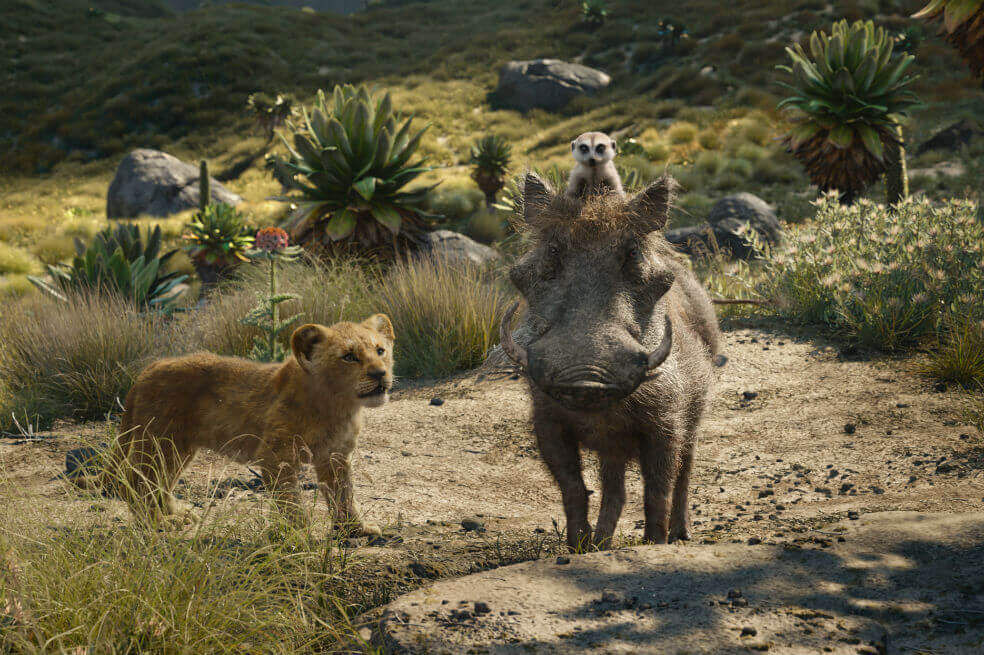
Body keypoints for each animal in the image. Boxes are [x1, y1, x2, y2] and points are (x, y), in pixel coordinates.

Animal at [78, 315, 395, 535]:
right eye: (349, 357)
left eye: (380, 351)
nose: (380, 374)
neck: (339, 406)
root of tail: (147, 371)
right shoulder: (277, 456)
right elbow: (290, 501)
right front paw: (300, 535)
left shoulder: (336, 456)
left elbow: (344, 495)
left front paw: (354, 530)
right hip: (159, 442)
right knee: (135, 481)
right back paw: (158, 523)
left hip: (177, 448)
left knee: (160, 483)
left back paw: (176, 514)